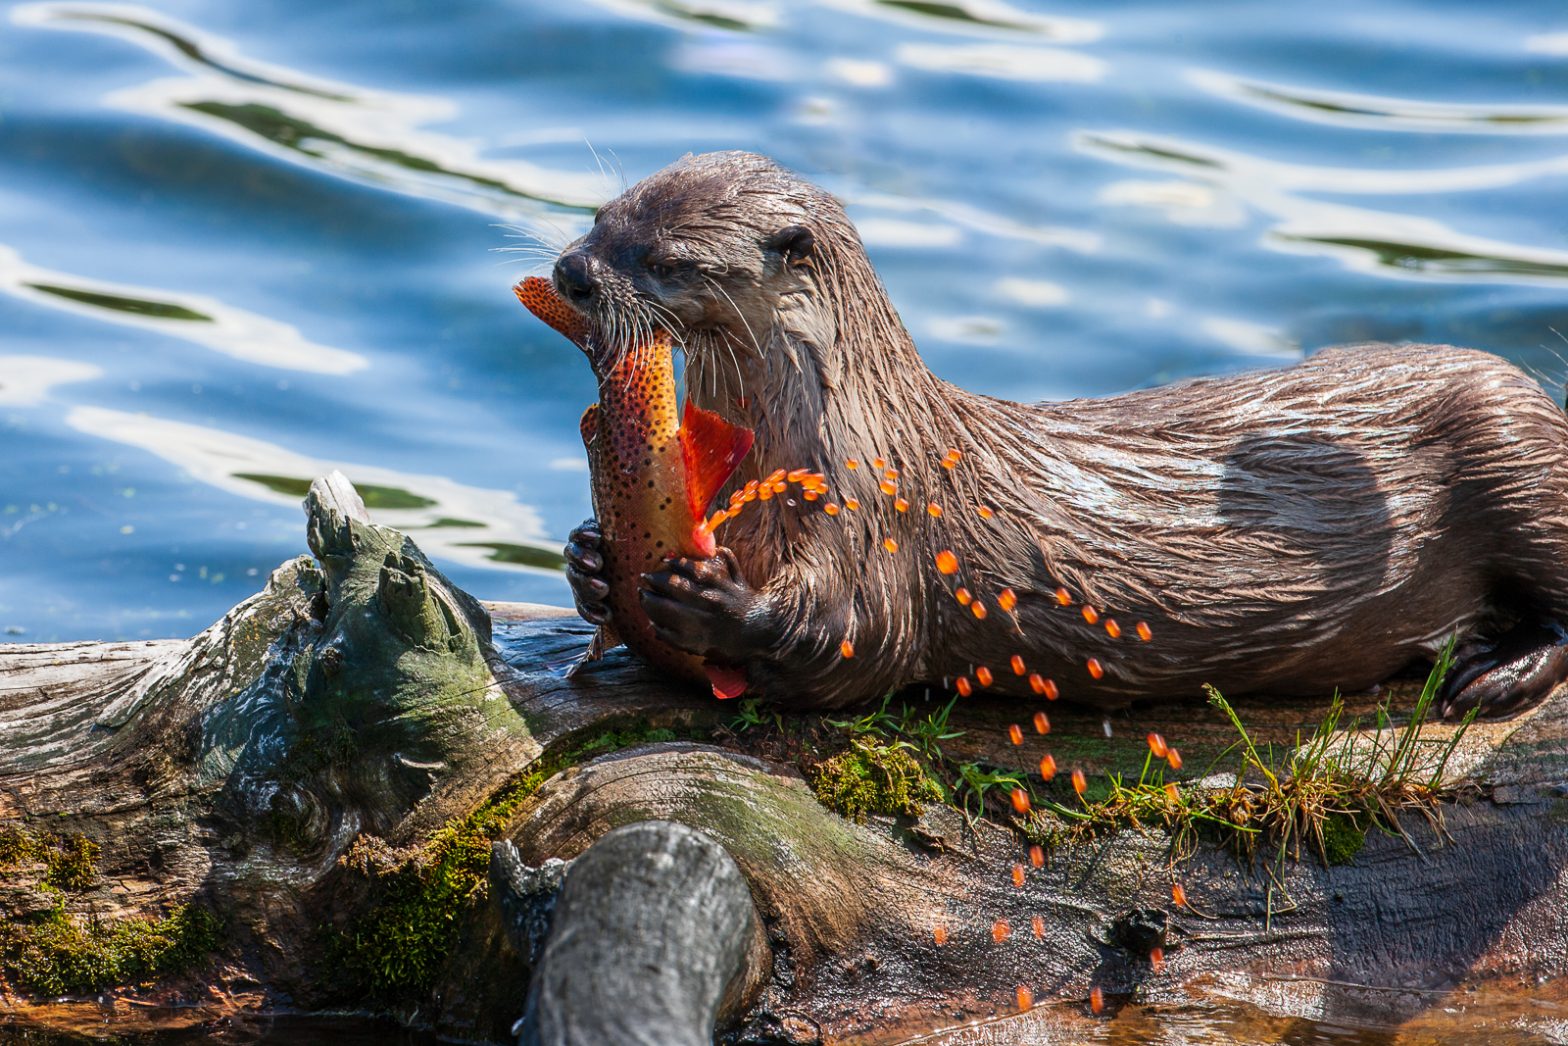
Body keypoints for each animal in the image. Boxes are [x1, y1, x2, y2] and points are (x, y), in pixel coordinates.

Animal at [555, 150, 1568, 719]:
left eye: (667, 257)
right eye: (600, 217)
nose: (570, 270)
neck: (822, 429)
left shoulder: (875, 507)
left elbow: (856, 635)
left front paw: (717, 599)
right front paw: (593, 561)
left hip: (1514, 447)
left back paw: (1495, 673)